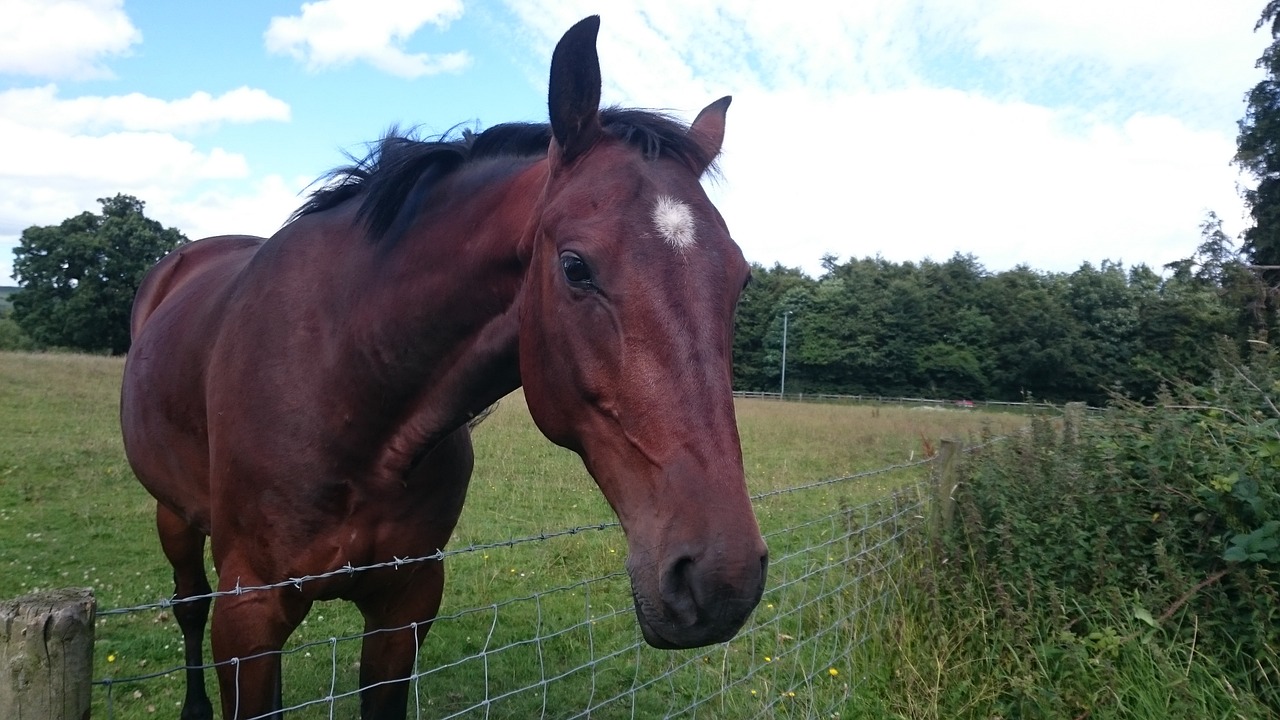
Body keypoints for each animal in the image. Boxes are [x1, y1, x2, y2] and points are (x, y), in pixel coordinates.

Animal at [120, 16, 762, 717]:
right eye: (575, 267)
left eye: (739, 278)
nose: (722, 579)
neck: (345, 384)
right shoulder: (250, 612)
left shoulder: (406, 602)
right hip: (174, 516)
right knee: (187, 604)